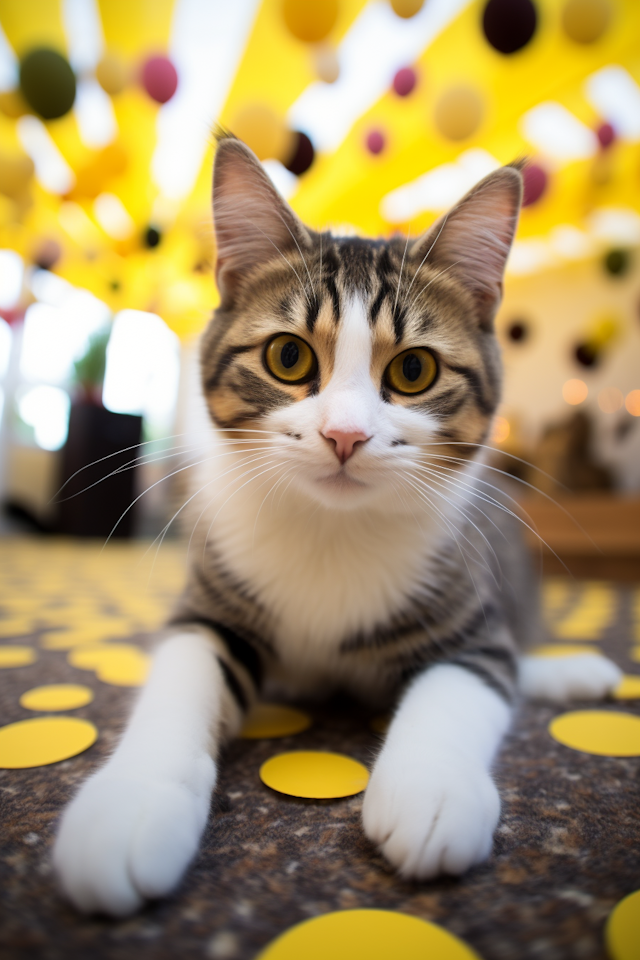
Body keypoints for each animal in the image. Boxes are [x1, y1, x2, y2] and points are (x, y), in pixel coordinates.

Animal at [52, 135, 624, 916]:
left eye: (413, 371)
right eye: (288, 356)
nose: (344, 435)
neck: (331, 528)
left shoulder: (468, 617)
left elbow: (466, 682)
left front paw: (430, 790)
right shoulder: (211, 606)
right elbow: (181, 675)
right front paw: (130, 805)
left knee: (514, 655)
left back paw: (569, 671)